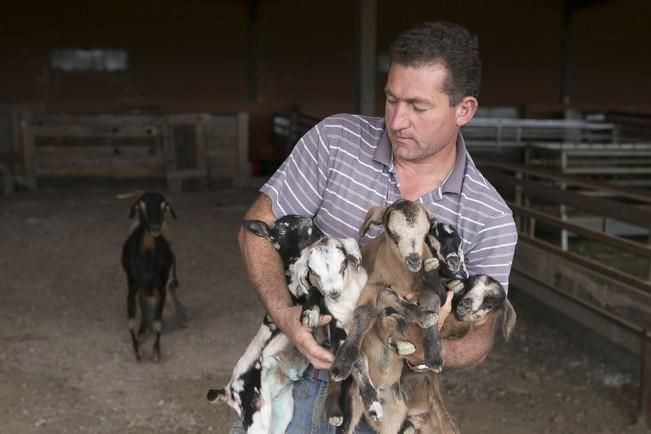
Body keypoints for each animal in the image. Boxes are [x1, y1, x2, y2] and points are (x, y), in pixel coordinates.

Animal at [120, 192, 185, 362]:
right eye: (141, 205)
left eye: (164, 206)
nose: (155, 228)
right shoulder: (132, 286)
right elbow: (130, 322)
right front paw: (138, 351)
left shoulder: (161, 287)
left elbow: (157, 322)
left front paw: (156, 353)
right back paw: (143, 330)